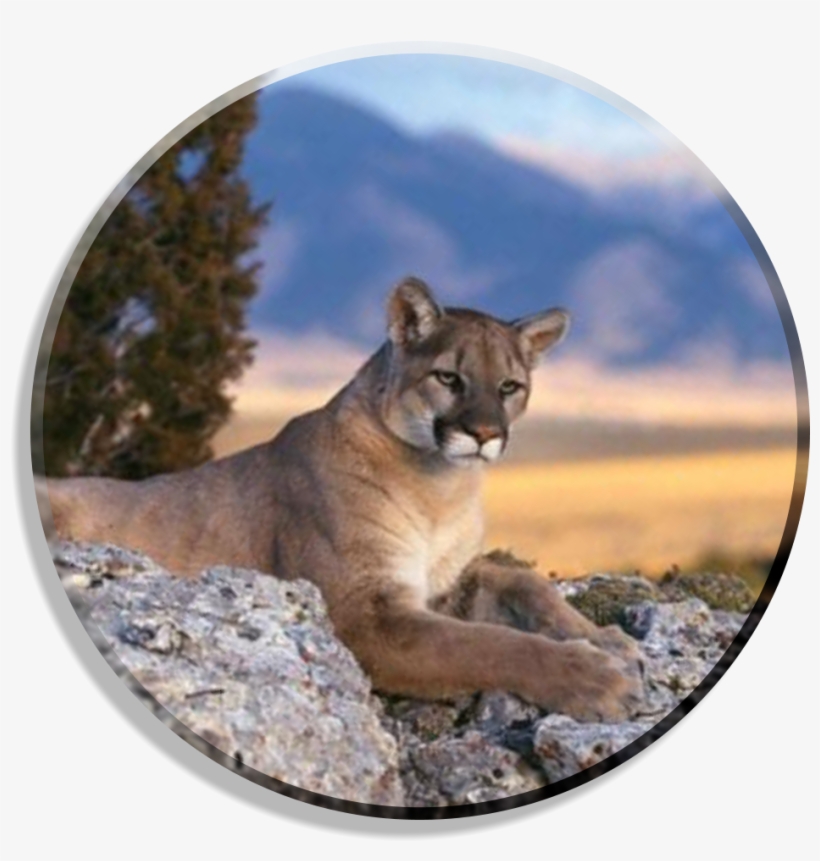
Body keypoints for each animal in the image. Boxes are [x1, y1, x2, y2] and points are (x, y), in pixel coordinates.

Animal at [39, 277, 643, 722]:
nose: (485, 434)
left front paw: (607, 641)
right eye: (449, 377)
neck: (442, 488)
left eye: (510, 387)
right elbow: (491, 645)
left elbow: (523, 582)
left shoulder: (441, 584)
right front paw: (596, 678)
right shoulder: (368, 615)